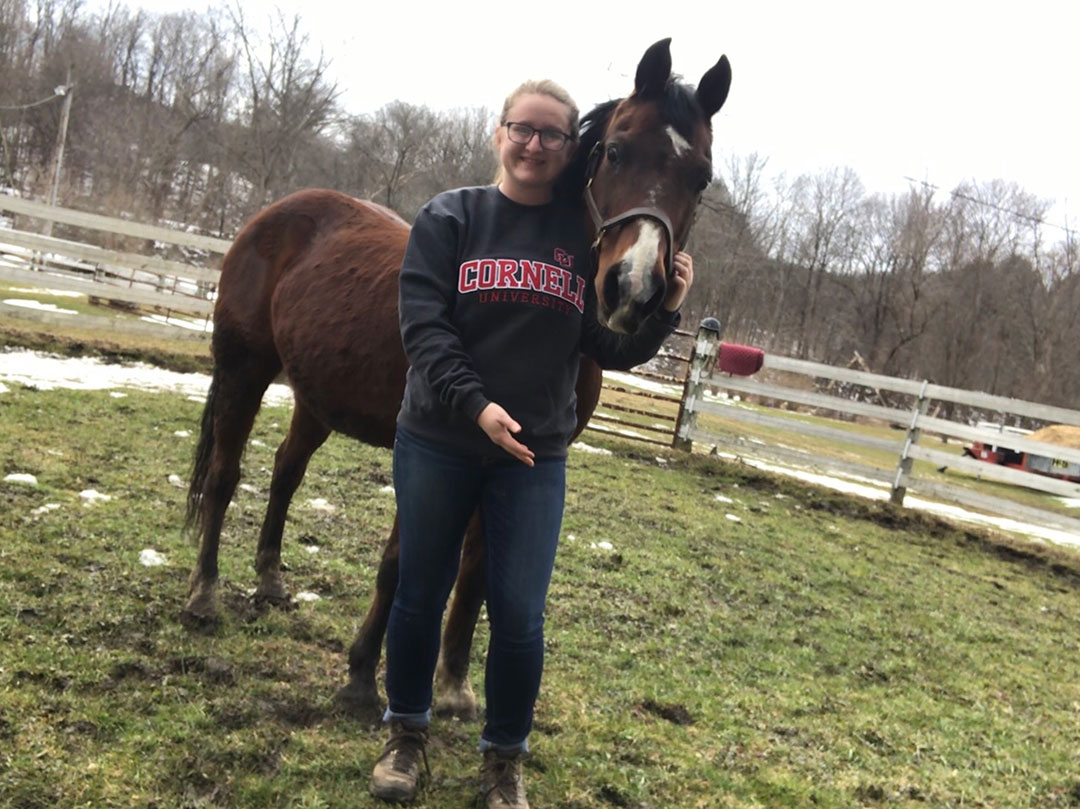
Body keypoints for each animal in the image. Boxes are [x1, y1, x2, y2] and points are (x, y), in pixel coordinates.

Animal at [185, 41, 730, 717]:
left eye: (701, 176)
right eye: (615, 151)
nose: (633, 288)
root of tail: (274, 214)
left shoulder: (511, 458)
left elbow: (475, 575)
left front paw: (453, 685)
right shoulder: (430, 456)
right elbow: (401, 563)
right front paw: (362, 676)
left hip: (316, 398)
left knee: (286, 473)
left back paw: (269, 581)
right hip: (244, 370)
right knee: (225, 475)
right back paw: (204, 595)